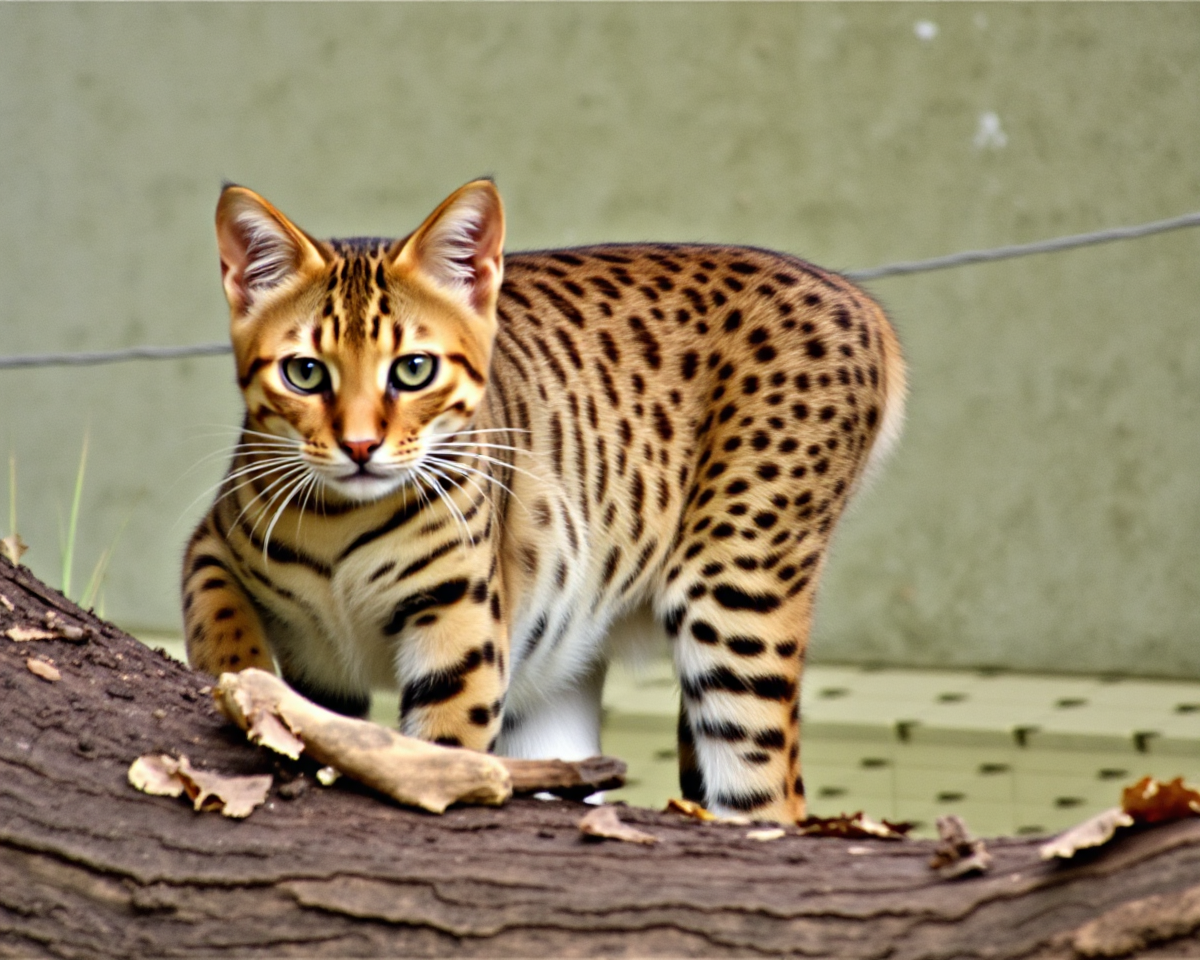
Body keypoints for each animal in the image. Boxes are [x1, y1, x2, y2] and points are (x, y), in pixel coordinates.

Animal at [182, 182, 902, 825]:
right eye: (305, 373)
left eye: (413, 369)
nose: (360, 446)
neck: (340, 521)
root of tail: (855, 298)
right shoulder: (210, 545)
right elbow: (219, 624)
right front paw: (244, 687)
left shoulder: (460, 629)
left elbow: (442, 747)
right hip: (560, 674)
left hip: (735, 600)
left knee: (771, 799)